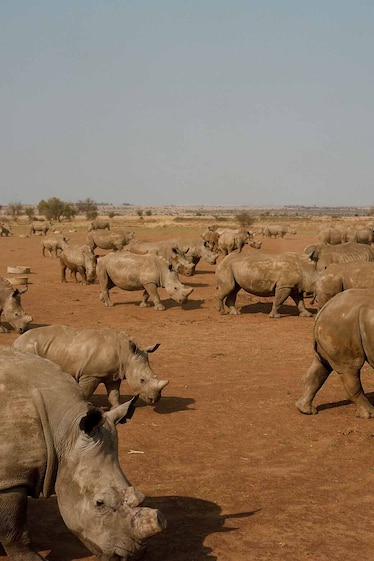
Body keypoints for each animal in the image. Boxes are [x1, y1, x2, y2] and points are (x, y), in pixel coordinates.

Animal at [0, 346, 167, 560]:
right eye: (99, 503)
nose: (134, 555)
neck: (64, 432)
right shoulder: (10, 478)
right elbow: (13, 527)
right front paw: (32, 558)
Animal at [12, 324, 168, 406]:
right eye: (142, 380)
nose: (155, 400)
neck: (126, 354)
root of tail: (16, 342)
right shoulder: (91, 374)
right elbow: (85, 393)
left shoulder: (114, 374)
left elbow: (114, 394)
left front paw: (118, 410)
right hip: (28, 349)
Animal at [296, 288, 374, 416]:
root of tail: (326, 307)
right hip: (343, 325)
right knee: (350, 368)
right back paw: (369, 414)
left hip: (334, 324)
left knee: (323, 364)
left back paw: (306, 410)